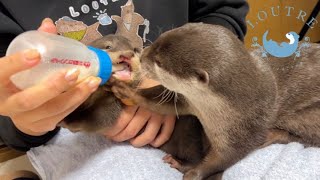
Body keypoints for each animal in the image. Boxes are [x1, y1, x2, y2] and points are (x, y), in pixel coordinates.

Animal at [111, 23, 320, 179]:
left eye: (159, 62)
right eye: (158, 41)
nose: (141, 55)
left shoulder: (243, 131)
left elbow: (223, 159)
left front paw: (192, 172)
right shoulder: (190, 100)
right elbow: (161, 103)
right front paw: (126, 90)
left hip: (310, 117)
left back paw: (273, 135)